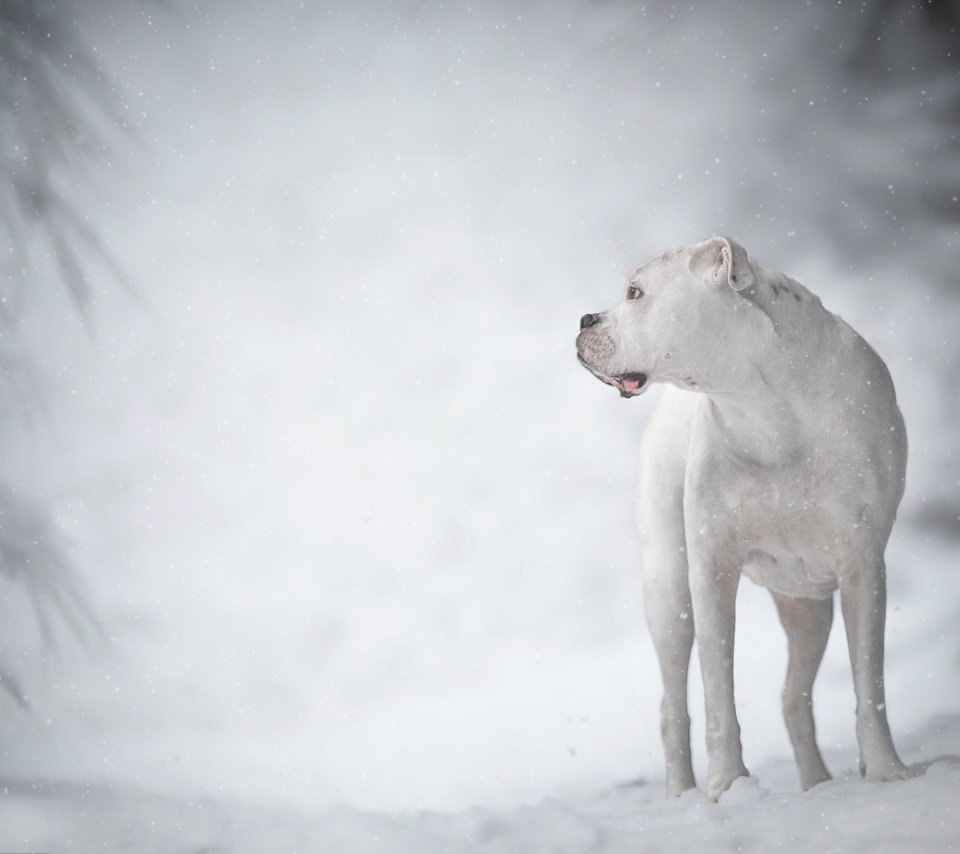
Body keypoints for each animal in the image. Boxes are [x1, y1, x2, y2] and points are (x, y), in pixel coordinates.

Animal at [572, 236, 912, 804]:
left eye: (635, 292)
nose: (584, 319)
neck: (767, 407)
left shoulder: (864, 567)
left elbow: (871, 682)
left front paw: (887, 771)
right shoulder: (711, 572)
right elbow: (717, 692)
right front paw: (728, 785)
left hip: (808, 607)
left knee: (795, 697)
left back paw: (817, 783)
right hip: (669, 592)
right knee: (673, 705)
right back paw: (682, 794)